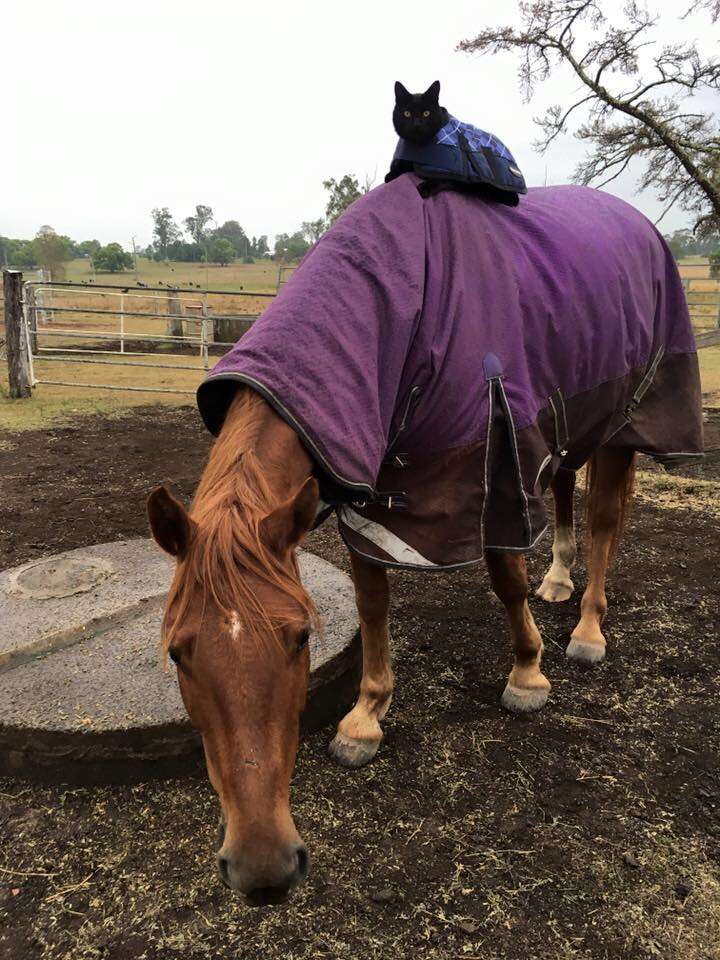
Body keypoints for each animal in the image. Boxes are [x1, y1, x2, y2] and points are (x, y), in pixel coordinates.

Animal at [148, 386, 636, 904]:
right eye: (177, 652)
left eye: (302, 638)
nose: (262, 868)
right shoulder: (369, 497)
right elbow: (371, 600)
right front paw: (367, 714)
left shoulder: (498, 463)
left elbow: (507, 578)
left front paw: (527, 673)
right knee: (565, 481)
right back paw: (559, 578)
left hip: (621, 429)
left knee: (604, 519)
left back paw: (588, 627)